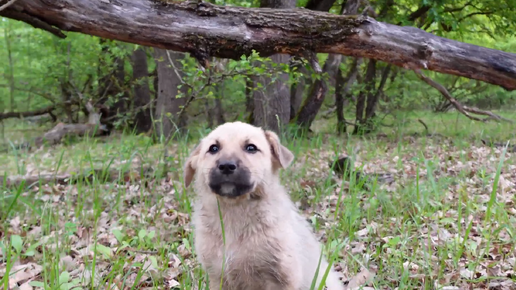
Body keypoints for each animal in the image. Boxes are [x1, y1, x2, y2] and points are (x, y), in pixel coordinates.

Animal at [183, 121, 344, 288]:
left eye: (251, 148)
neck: (235, 212)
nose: (226, 166)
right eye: (213, 148)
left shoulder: (281, 277)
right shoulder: (218, 277)